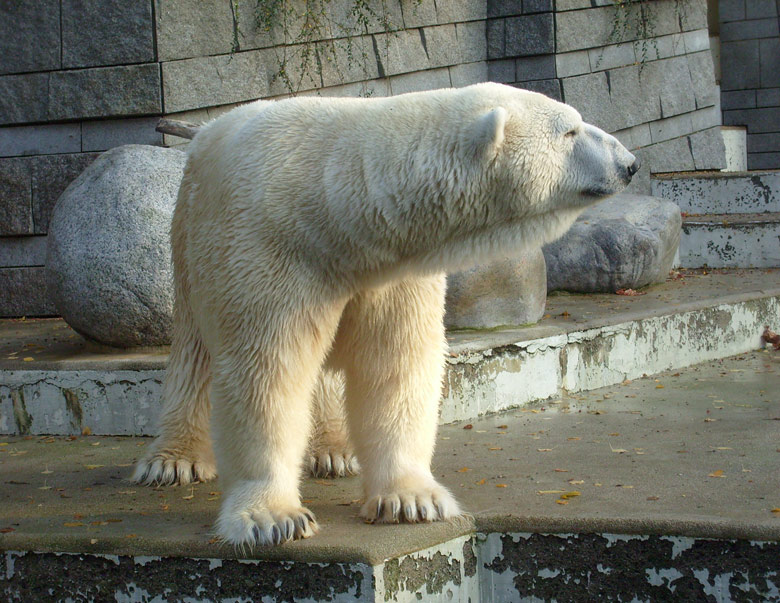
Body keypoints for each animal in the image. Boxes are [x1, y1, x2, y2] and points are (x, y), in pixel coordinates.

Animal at [134, 82, 636, 548]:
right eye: (569, 130)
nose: (630, 164)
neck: (333, 216)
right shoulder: (268, 253)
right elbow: (266, 372)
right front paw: (274, 519)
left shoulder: (389, 273)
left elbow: (395, 365)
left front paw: (410, 500)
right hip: (190, 236)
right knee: (193, 354)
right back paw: (173, 460)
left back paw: (334, 451)